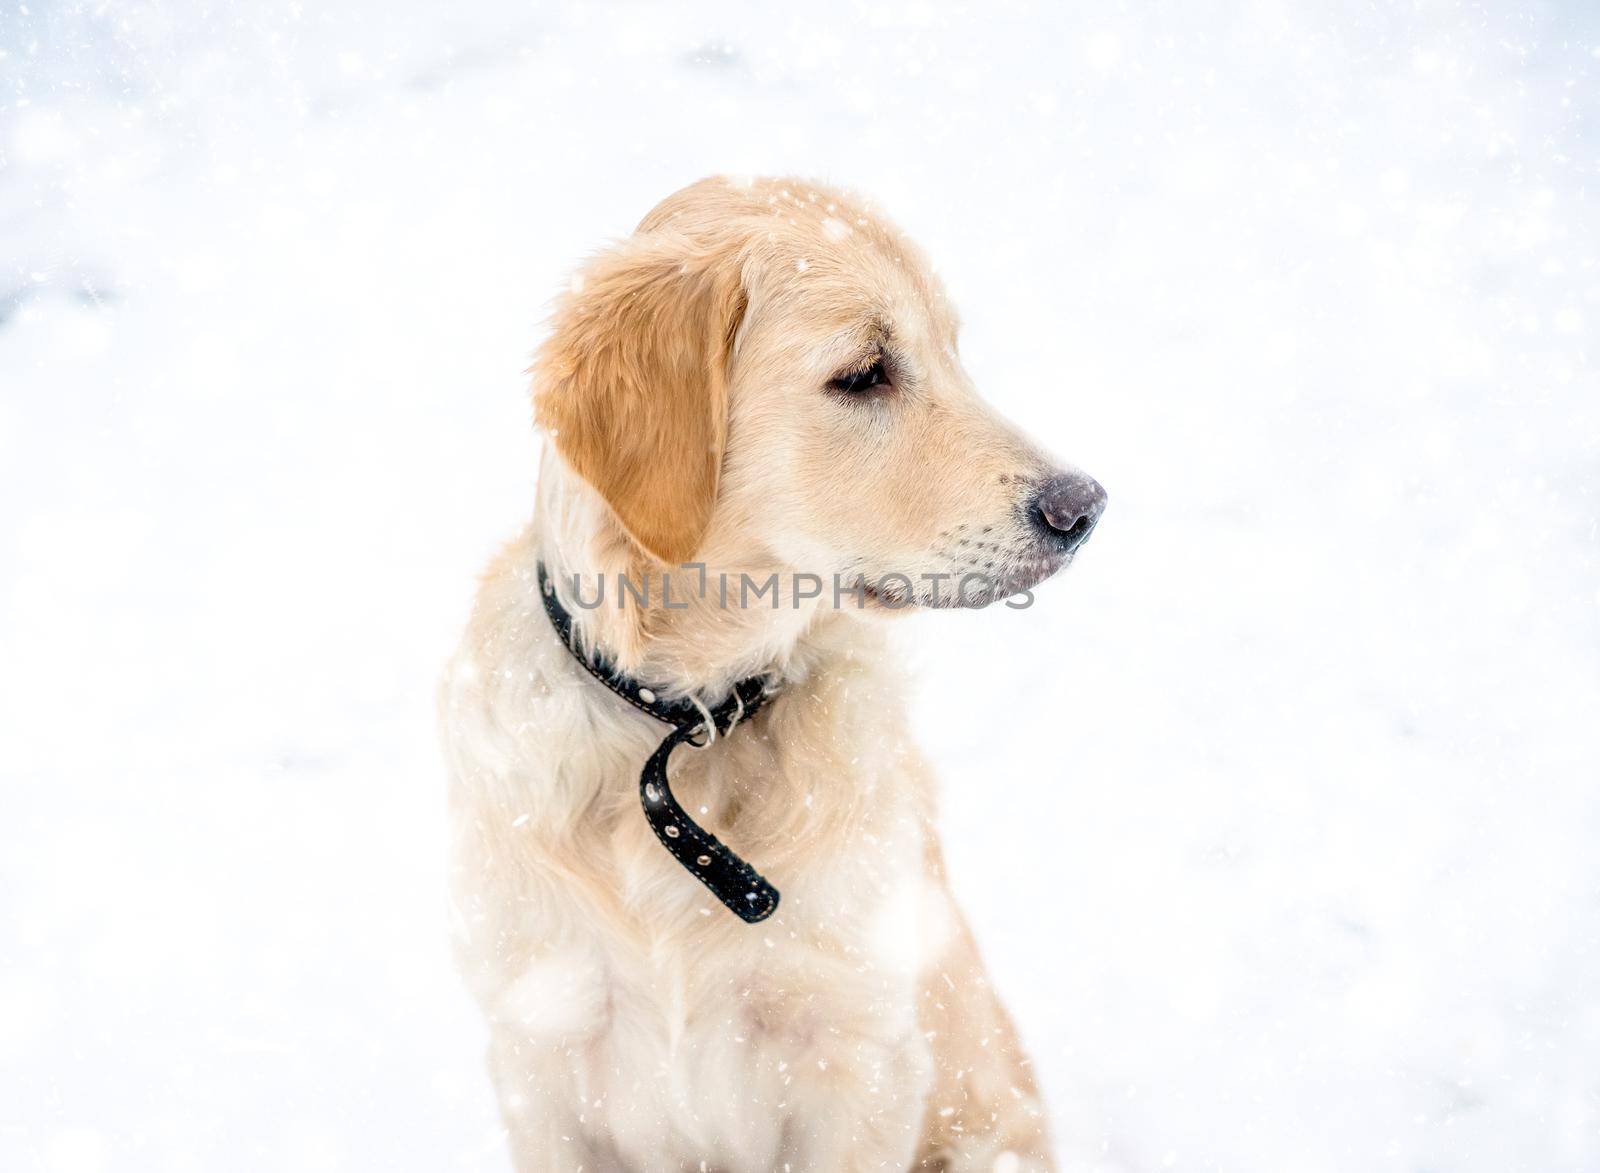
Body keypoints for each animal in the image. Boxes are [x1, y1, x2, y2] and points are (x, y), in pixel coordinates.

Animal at [441, 176, 1113, 1171]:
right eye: (865, 371)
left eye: (953, 353)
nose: (1084, 507)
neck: (687, 718)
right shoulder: (543, 1048)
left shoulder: (861, 1054)